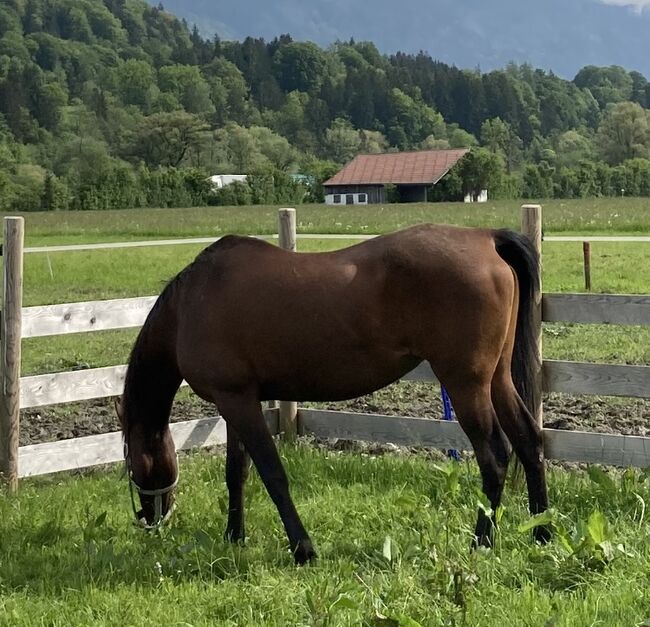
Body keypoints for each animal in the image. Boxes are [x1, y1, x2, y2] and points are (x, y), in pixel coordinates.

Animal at [117, 224, 548, 564]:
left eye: (132, 465)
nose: (151, 519)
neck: (192, 302)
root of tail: (486, 238)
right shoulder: (235, 401)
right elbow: (236, 473)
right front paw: (234, 536)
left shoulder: (238, 402)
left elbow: (272, 474)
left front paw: (303, 549)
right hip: (497, 379)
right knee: (529, 441)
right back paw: (541, 531)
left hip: (466, 385)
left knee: (495, 456)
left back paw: (481, 542)